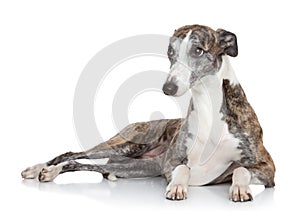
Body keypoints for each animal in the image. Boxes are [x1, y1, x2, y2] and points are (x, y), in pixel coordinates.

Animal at [21, 25, 274, 203]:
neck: (209, 110)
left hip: (136, 165)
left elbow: (240, 168)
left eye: (198, 50)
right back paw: (41, 168)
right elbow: (183, 168)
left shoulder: (268, 168)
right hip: (126, 144)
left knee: (85, 164)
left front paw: (240, 188)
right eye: (170, 52)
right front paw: (177, 186)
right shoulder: (171, 163)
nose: (168, 88)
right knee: (73, 154)